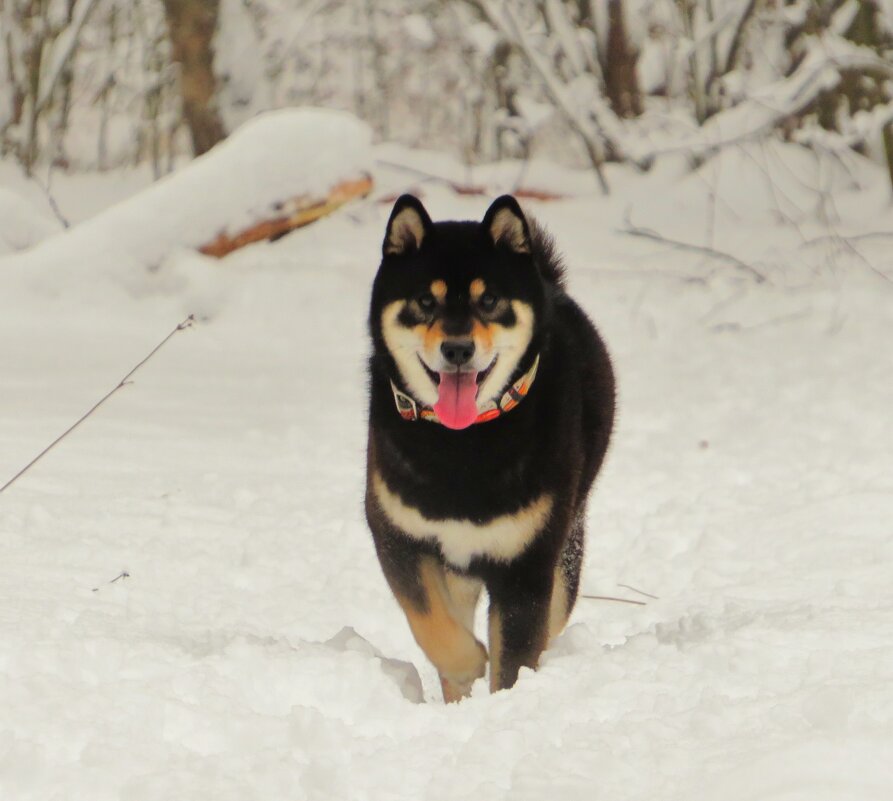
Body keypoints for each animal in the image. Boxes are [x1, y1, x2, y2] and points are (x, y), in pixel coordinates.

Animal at [364, 195, 612, 700]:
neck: (463, 443)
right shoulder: (396, 535)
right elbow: (432, 625)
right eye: (425, 301)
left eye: (490, 300)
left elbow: (514, 658)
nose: (458, 348)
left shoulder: (526, 565)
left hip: (565, 552)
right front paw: (467, 665)